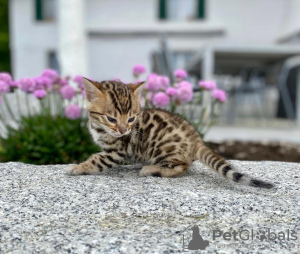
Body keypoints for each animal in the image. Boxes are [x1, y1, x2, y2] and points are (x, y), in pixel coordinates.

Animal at [68, 79, 274, 189]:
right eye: (111, 119)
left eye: (131, 119)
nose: (124, 130)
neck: (99, 128)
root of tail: (196, 139)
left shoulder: (116, 151)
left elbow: (98, 160)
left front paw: (79, 167)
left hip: (162, 148)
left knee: (181, 167)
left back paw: (152, 169)